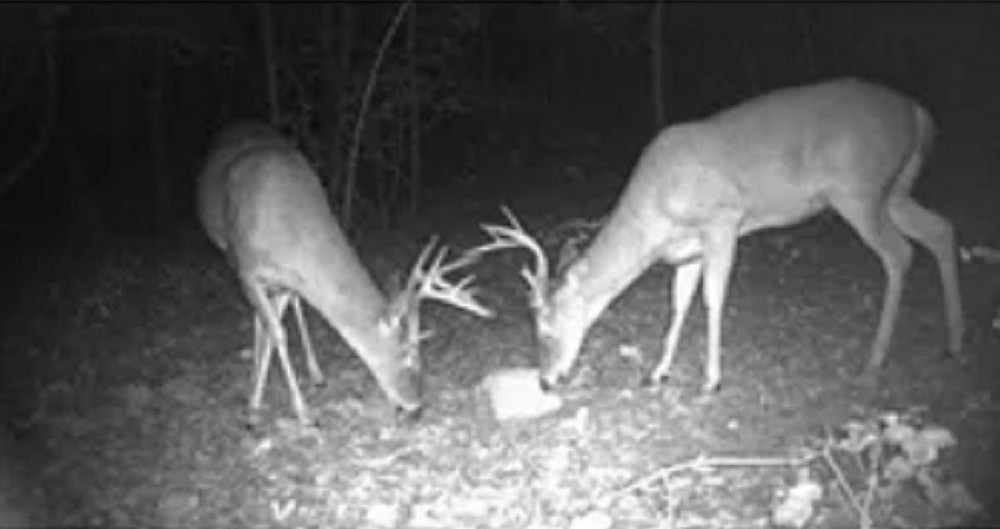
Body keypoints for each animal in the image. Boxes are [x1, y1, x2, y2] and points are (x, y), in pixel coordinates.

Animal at [196, 120, 492, 425]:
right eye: (409, 355)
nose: (416, 406)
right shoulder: (246, 270)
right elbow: (276, 332)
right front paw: (287, 410)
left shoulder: (286, 280)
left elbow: (274, 327)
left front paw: (259, 400)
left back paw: (315, 374)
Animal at [471, 78, 964, 394]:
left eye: (546, 325)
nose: (545, 380)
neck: (656, 207)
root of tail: (918, 113)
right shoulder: (687, 251)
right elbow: (678, 303)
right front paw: (658, 373)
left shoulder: (724, 221)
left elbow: (712, 299)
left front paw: (712, 379)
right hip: (894, 189)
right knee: (940, 229)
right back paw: (954, 343)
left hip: (858, 190)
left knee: (899, 253)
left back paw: (875, 360)